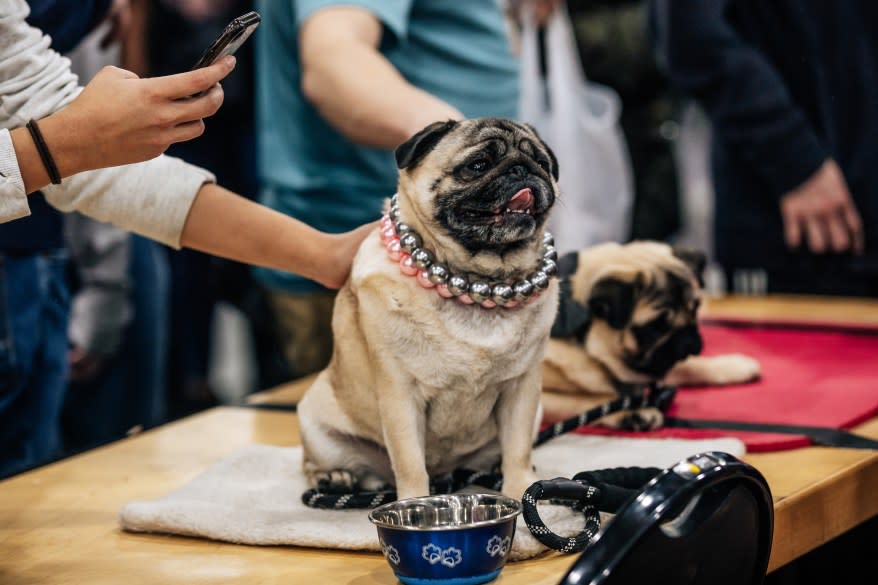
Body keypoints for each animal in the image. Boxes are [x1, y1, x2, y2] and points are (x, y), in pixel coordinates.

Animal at [296, 120, 560, 502]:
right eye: (477, 165)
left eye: (541, 162)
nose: (521, 168)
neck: (476, 280)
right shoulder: (400, 395)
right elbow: (409, 462)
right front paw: (415, 502)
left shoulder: (522, 390)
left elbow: (518, 449)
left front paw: (521, 488)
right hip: (316, 426)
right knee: (314, 464)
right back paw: (334, 478)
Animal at [544, 242, 764, 428]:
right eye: (655, 326)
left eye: (695, 309)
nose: (687, 339)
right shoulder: (543, 399)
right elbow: (592, 401)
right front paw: (634, 412)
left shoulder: (658, 364)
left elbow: (690, 366)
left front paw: (732, 365)